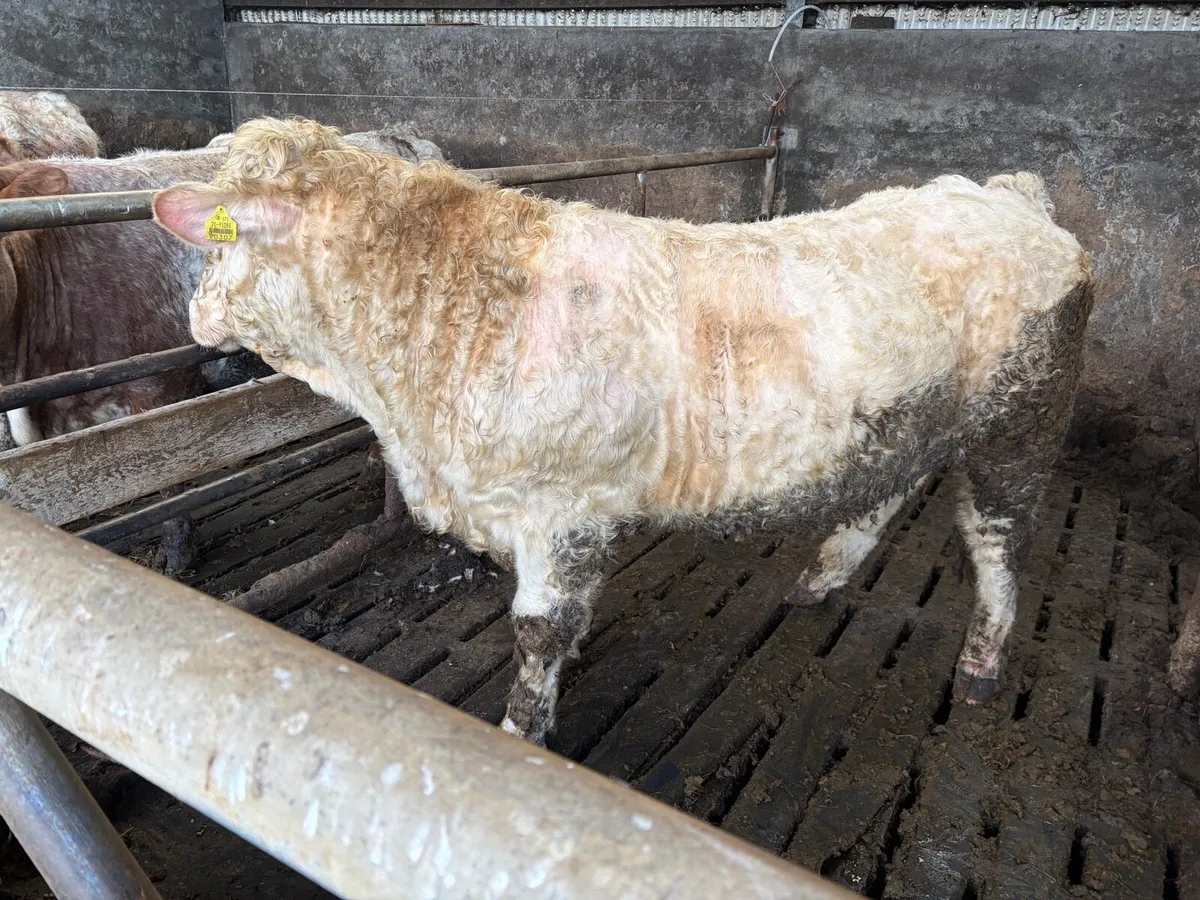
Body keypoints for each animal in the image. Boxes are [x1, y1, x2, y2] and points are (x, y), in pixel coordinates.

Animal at [152, 117, 1094, 746]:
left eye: (218, 243)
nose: (193, 315)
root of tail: (1003, 197)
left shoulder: (560, 510)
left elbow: (536, 632)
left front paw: (522, 728)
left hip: (1022, 424)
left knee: (997, 541)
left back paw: (981, 666)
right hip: (907, 419)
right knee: (888, 490)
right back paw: (822, 577)